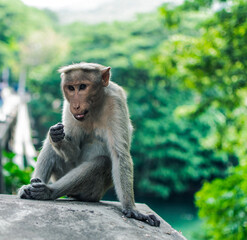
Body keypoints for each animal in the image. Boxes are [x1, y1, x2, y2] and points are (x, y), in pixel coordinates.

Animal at [17, 62, 160, 227]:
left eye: (83, 86)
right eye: (71, 88)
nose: (75, 105)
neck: (94, 107)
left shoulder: (116, 101)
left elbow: (119, 154)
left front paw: (131, 208)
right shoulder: (68, 107)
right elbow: (73, 152)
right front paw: (56, 136)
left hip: (93, 193)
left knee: (102, 162)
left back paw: (49, 192)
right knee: (51, 147)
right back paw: (31, 188)